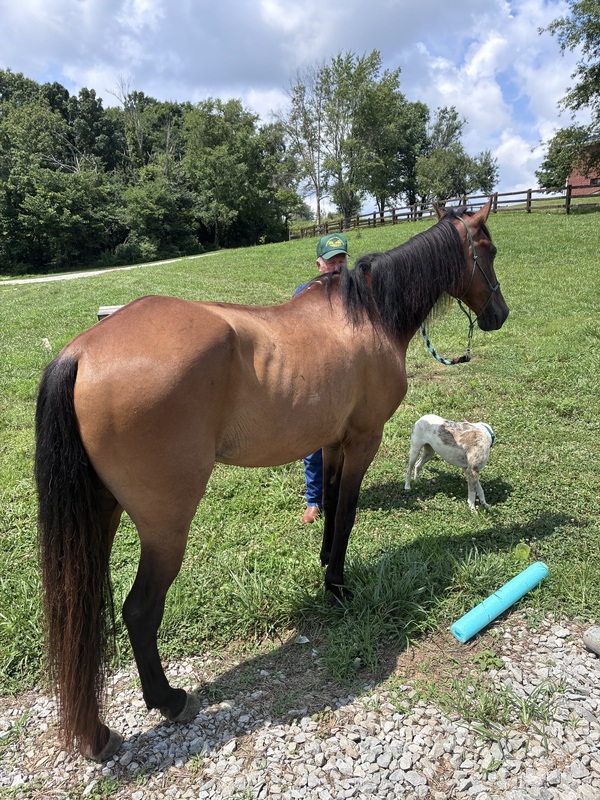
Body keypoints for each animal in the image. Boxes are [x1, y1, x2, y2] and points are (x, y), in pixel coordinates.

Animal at [35, 199, 509, 761]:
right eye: (489, 250)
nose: (500, 314)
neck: (369, 316)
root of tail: (82, 351)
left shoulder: (332, 441)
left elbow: (329, 504)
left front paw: (325, 565)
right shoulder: (363, 439)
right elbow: (346, 513)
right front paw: (338, 588)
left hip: (101, 516)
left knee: (83, 617)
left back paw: (95, 733)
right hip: (165, 527)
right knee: (140, 611)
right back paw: (170, 701)